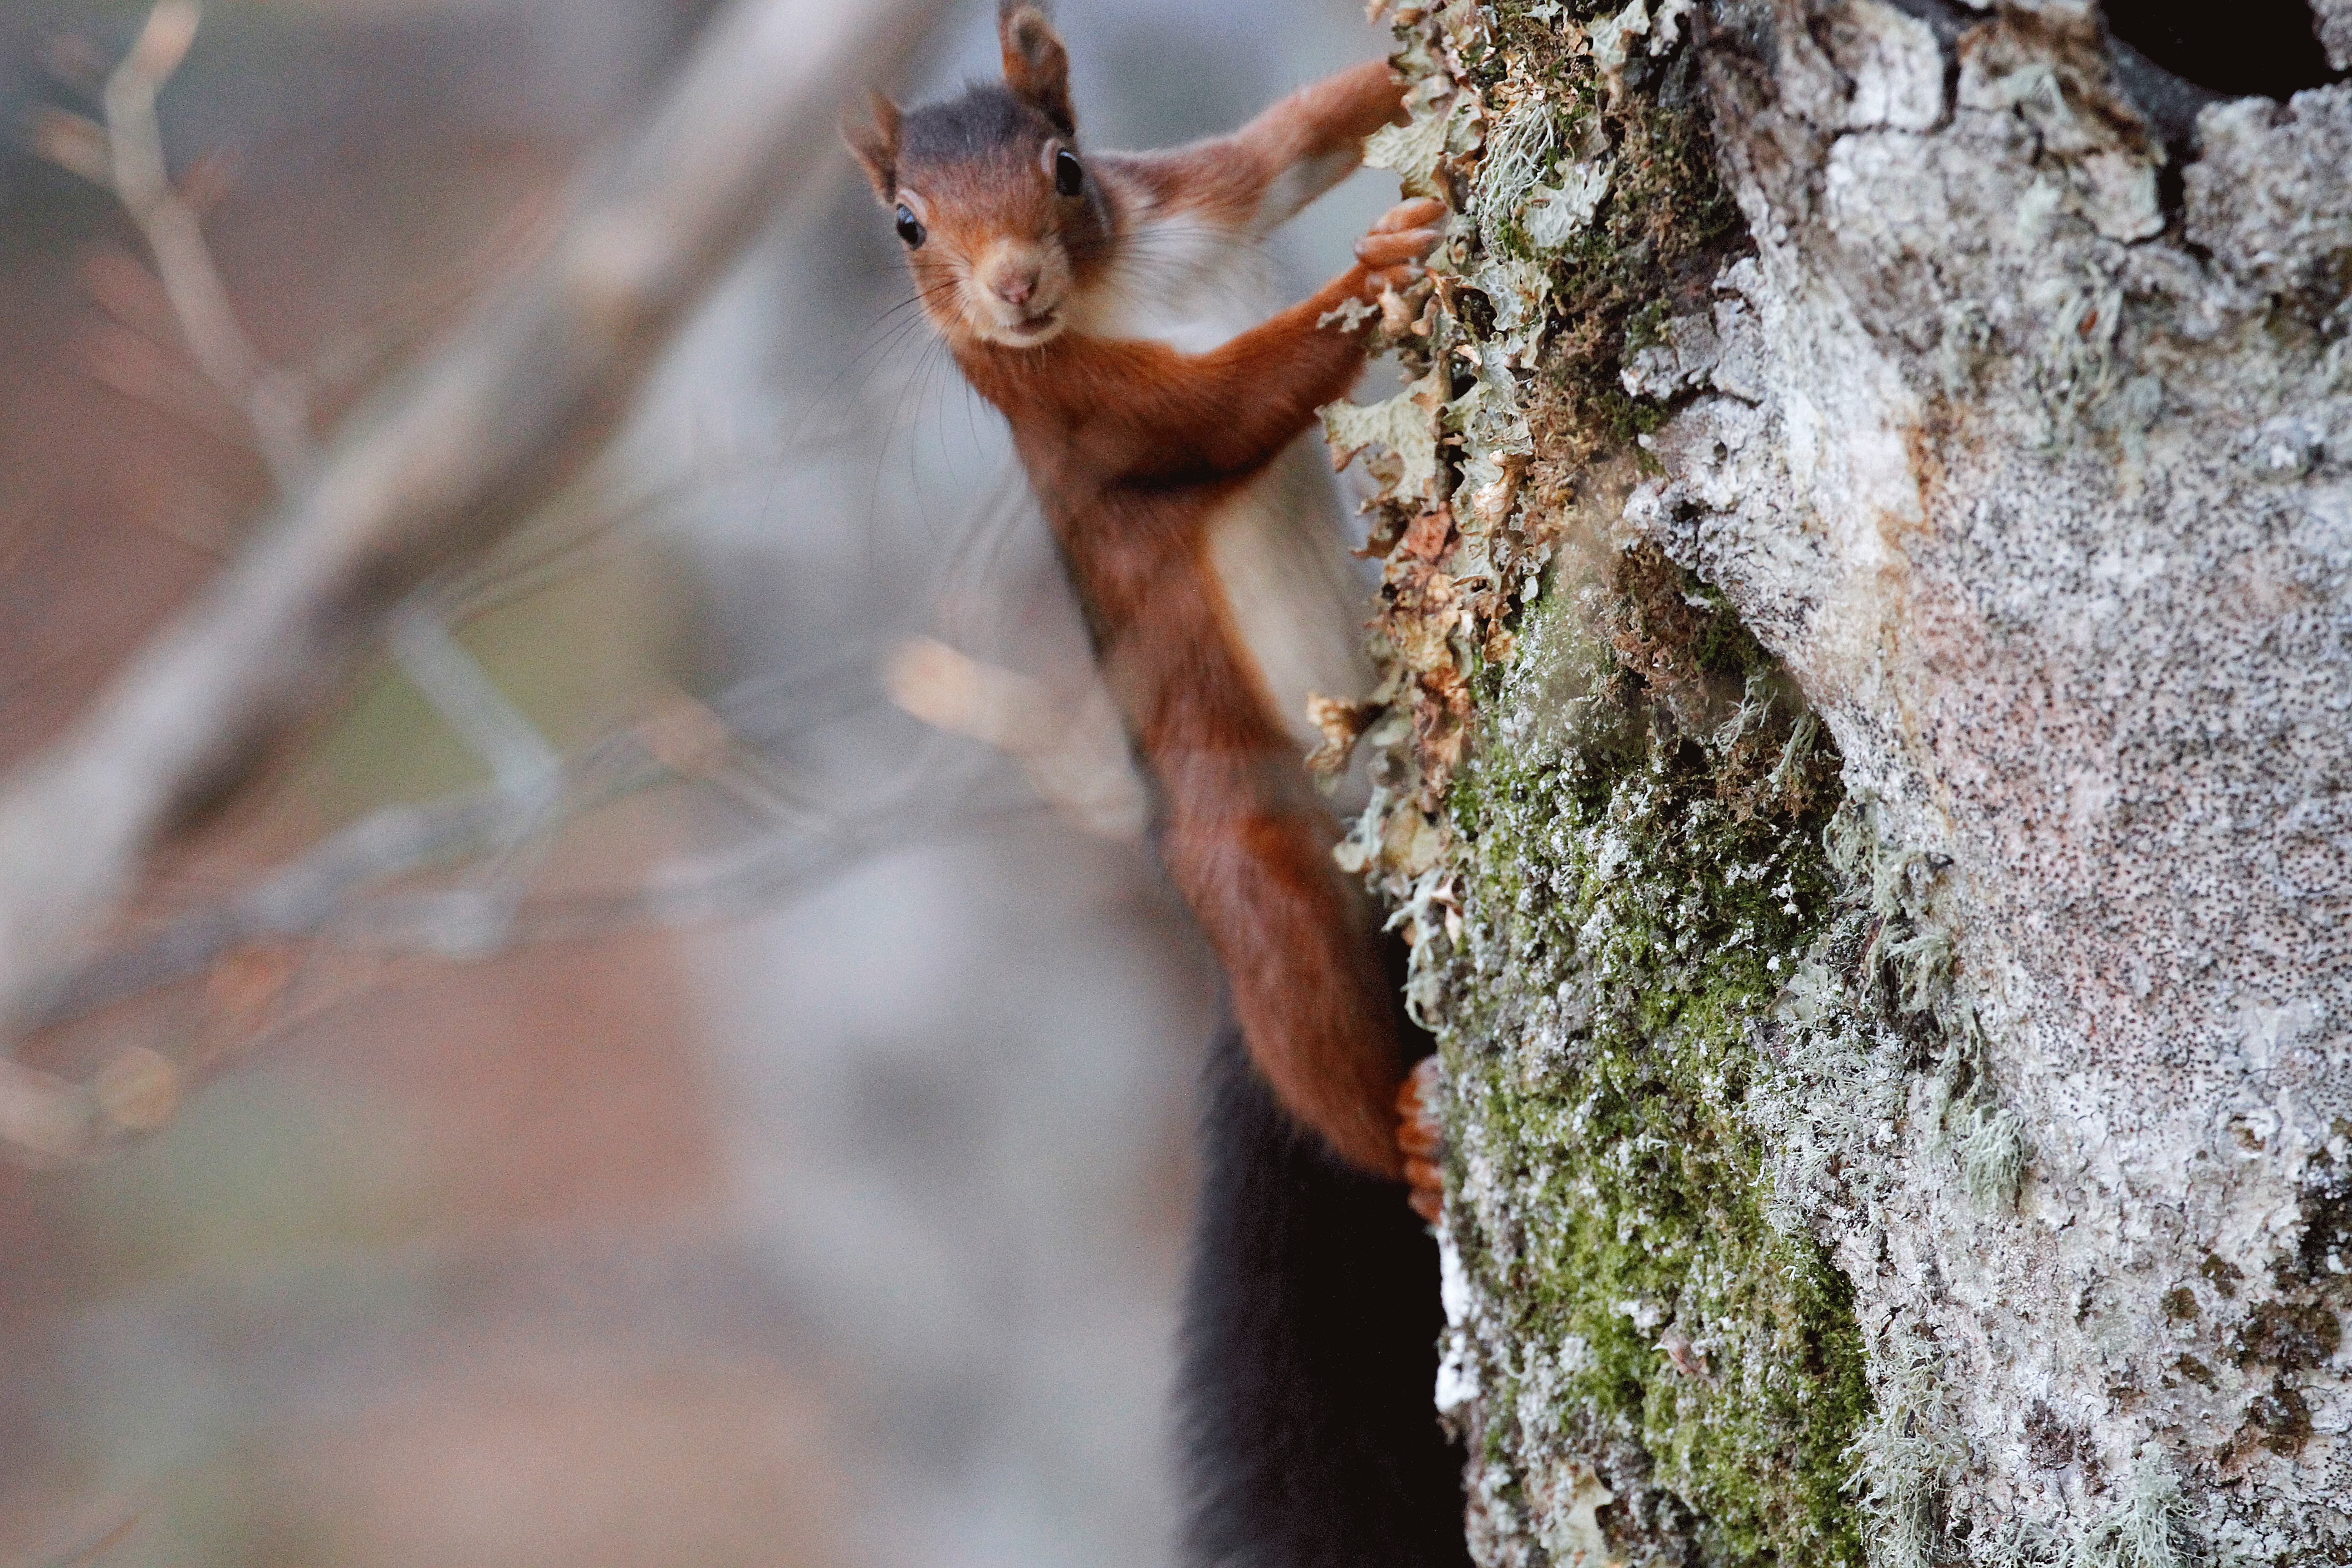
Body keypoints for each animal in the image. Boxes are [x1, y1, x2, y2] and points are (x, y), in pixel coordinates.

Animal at [837, 0, 1439, 1189]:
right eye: (906, 226)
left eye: (1067, 169)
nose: (1014, 287)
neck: (1116, 286)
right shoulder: (1085, 414)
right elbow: (1240, 396)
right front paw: (1375, 269)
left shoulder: (1211, 188)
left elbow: (1312, 129)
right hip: (1249, 871)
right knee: (1311, 1032)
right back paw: (1410, 1139)